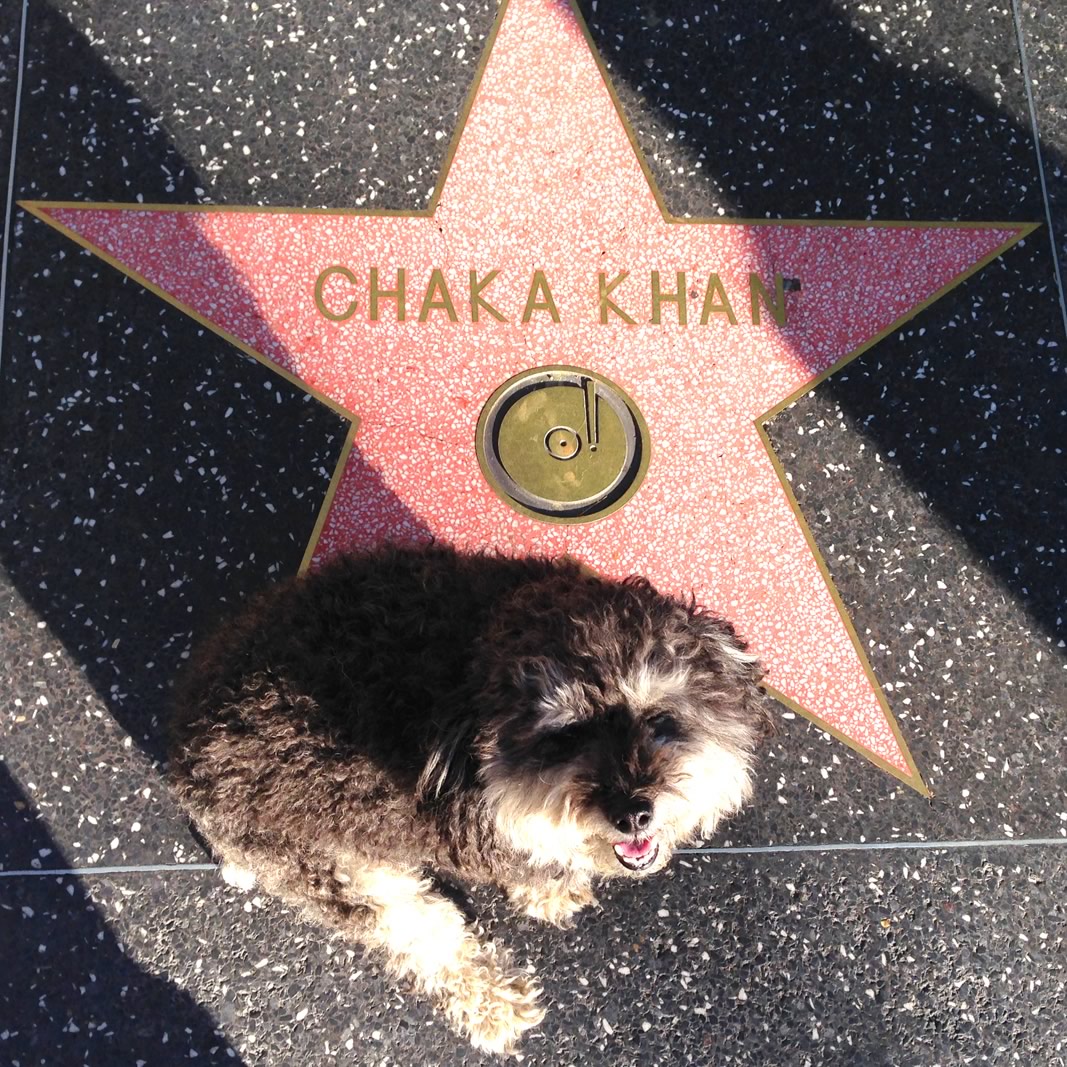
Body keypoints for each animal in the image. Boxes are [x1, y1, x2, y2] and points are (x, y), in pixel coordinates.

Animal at [168, 545, 770, 1054]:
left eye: (659, 719)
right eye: (565, 736)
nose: (632, 812)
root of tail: (185, 762)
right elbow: (533, 864)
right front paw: (552, 889)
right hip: (341, 876)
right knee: (425, 936)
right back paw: (496, 1005)